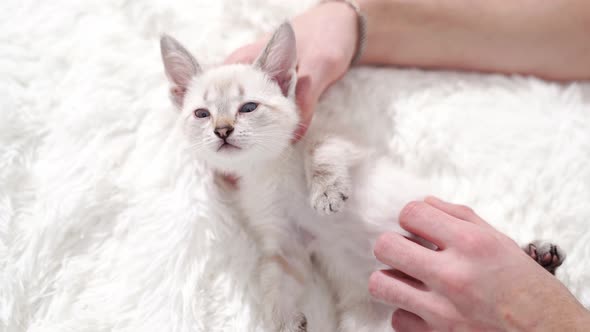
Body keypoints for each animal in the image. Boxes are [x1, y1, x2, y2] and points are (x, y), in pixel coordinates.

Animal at [160, 22, 568, 330]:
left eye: (248, 108)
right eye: (201, 114)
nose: (223, 130)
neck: (267, 169)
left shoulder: (344, 143)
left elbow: (322, 153)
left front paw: (326, 193)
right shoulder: (284, 243)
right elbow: (273, 281)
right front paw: (283, 319)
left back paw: (540, 254)